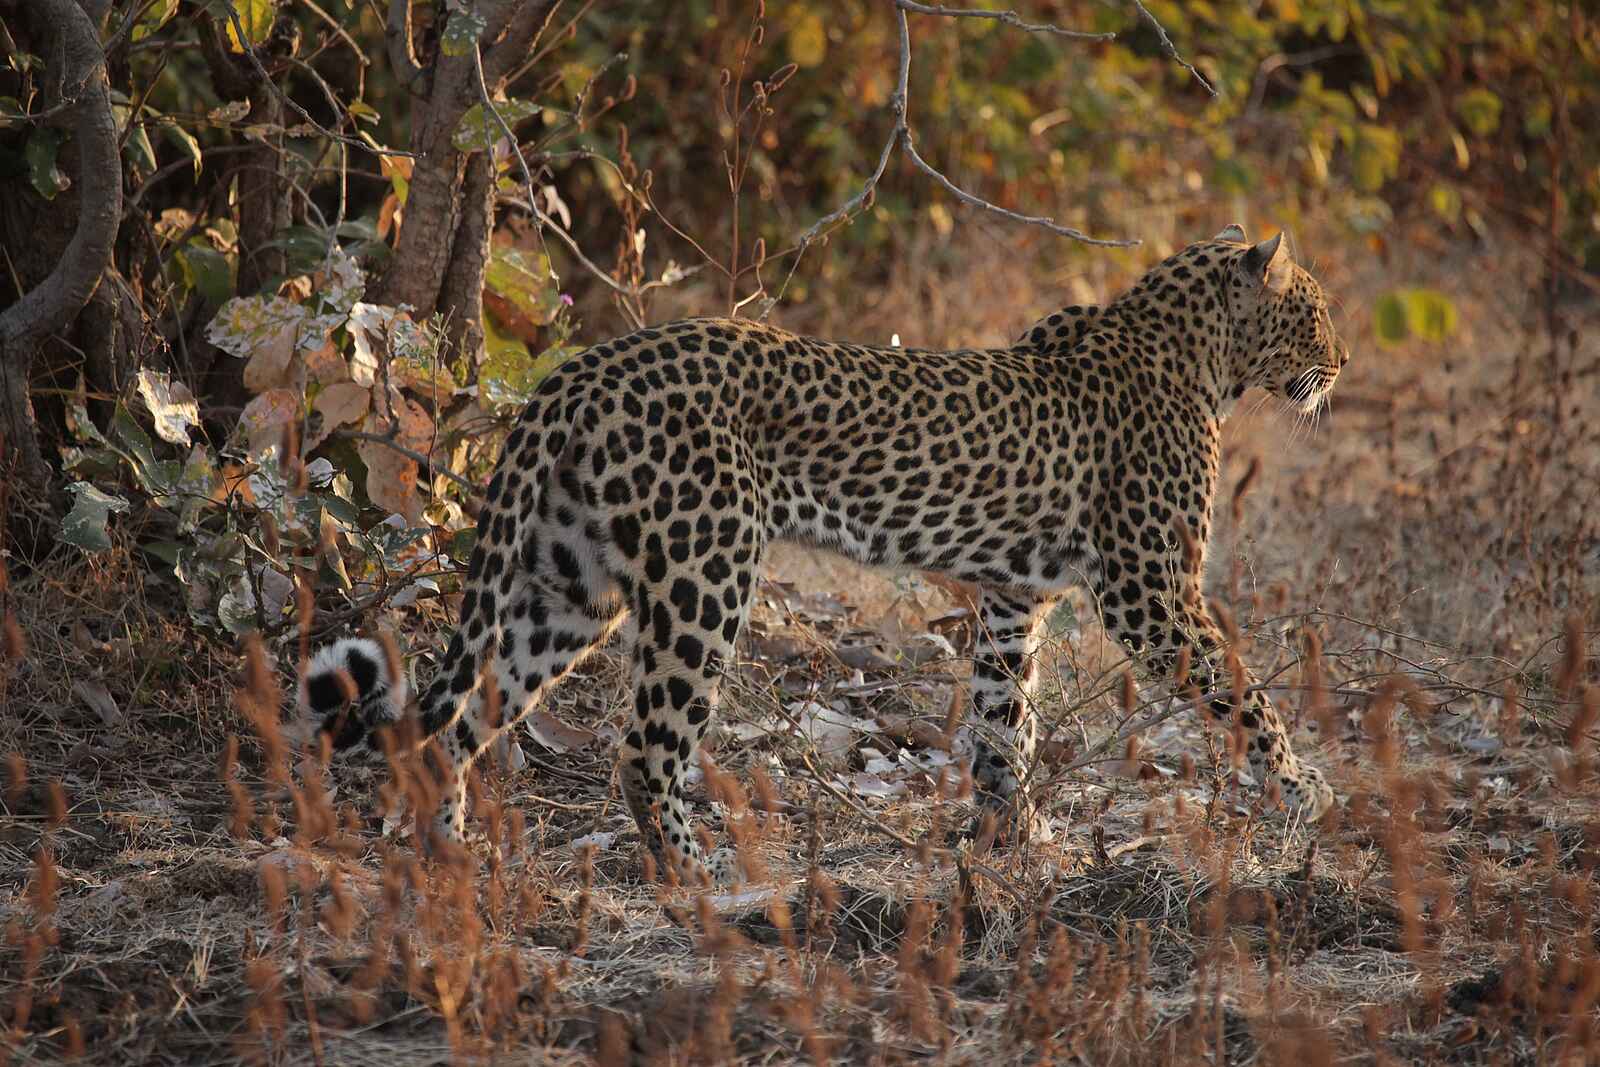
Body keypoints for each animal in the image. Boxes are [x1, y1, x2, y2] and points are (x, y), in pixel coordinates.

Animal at [302, 224, 1347, 880]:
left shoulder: (1013, 598)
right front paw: (1304, 792)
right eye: (1320, 313)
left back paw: (448, 853)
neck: (1201, 356)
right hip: (705, 572)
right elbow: (1242, 692)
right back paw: (702, 878)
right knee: (644, 747)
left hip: (571, 585)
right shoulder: (1151, 595)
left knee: (458, 721)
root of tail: (583, 370)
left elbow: (1006, 720)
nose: (1340, 368)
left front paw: (1014, 835)